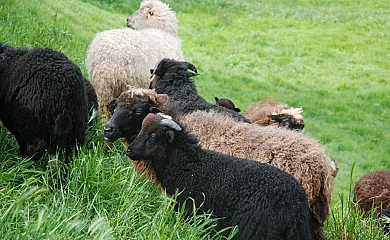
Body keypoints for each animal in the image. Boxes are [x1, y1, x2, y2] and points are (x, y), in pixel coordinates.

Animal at [126, 112, 316, 240]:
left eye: (153, 136)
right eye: (141, 128)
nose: (129, 151)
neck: (189, 165)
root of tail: (296, 201)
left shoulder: (193, 210)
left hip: (260, 230)